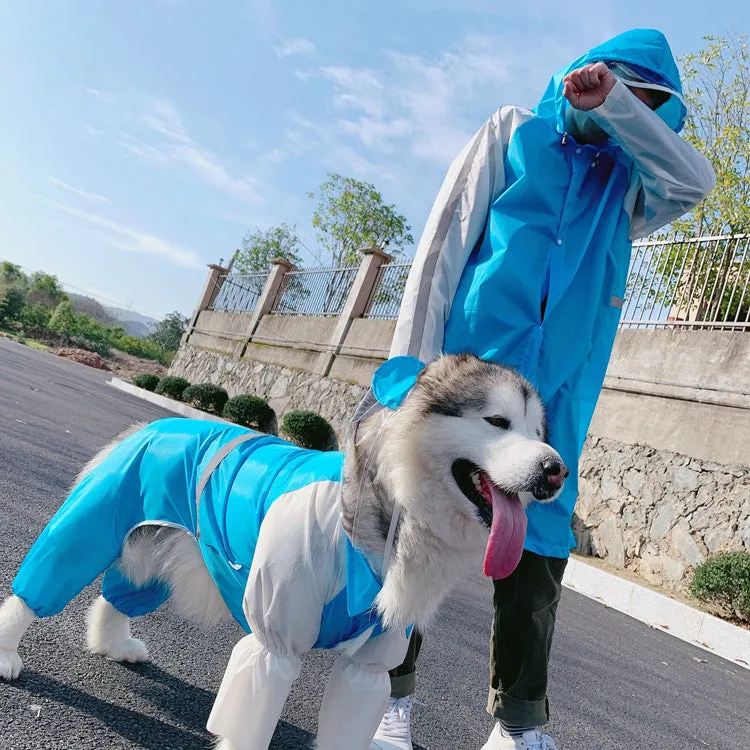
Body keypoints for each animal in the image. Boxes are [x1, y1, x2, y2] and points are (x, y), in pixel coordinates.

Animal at [0, 356, 564, 748]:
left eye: (539, 432)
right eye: (496, 421)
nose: (556, 470)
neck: (388, 505)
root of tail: (156, 424)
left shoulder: (369, 663)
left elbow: (345, 728)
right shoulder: (275, 639)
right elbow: (249, 724)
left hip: (156, 552)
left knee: (117, 595)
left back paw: (112, 644)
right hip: (90, 527)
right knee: (34, 591)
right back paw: (8, 654)